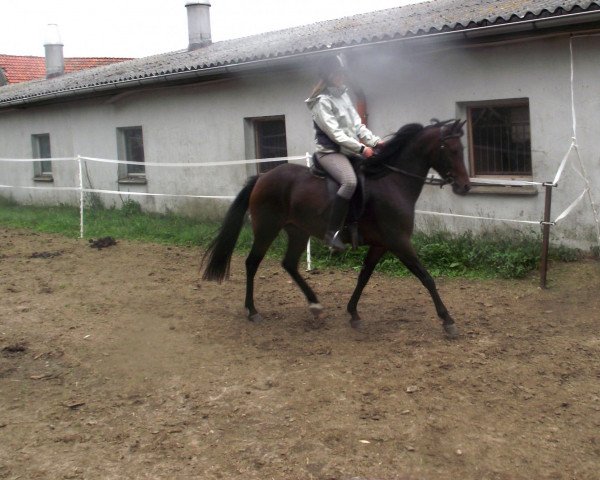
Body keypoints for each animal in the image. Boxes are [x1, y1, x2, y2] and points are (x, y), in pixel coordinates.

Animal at [204, 120, 472, 338]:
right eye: (452, 149)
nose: (465, 186)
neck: (392, 182)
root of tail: (262, 176)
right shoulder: (399, 241)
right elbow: (426, 277)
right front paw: (448, 321)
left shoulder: (381, 244)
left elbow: (364, 276)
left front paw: (353, 314)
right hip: (266, 229)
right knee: (252, 263)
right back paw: (252, 311)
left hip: (298, 232)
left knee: (289, 264)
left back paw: (315, 305)